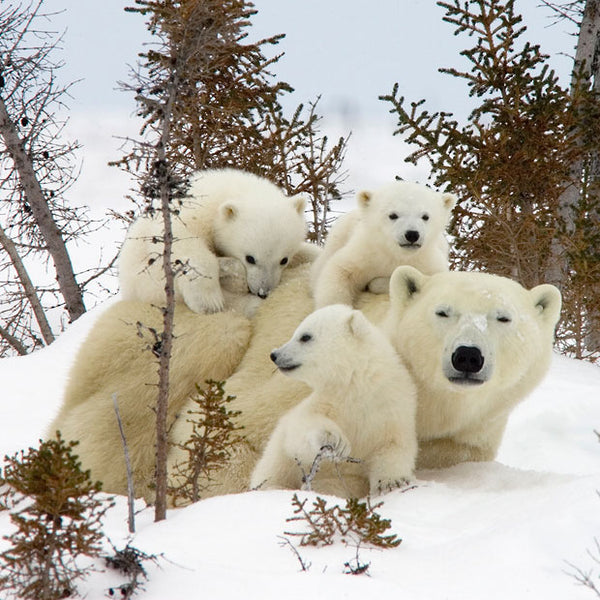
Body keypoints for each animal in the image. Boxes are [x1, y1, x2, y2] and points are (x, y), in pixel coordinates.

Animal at [120, 166, 312, 312]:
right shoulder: (188, 215)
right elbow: (184, 243)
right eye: (250, 258)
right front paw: (209, 301)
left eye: (284, 260)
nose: (263, 292)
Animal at [250, 304, 418, 496]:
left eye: (305, 336)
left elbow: (393, 445)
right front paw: (335, 440)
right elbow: (299, 431)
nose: (274, 354)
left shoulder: (392, 405)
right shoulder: (328, 402)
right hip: (276, 461)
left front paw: (391, 483)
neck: (357, 385)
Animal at [310, 182, 454, 304]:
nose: (412, 234)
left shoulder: (428, 262)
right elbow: (339, 271)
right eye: (393, 215)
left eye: (425, 216)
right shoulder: (364, 254)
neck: (395, 253)